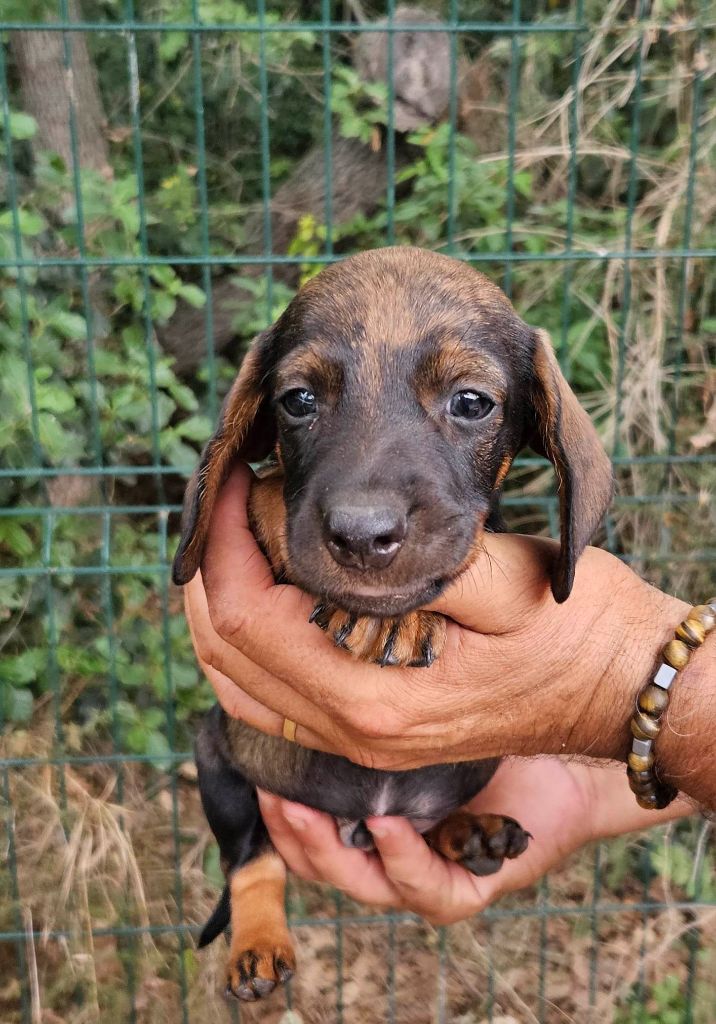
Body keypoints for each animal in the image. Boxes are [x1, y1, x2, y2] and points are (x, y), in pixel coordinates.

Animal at [171, 247, 614, 999]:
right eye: (298, 400)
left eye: (471, 402)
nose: (360, 535)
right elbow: (270, 491)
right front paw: (370, 610)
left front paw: (400, 619)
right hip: (219, 756)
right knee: (252, 858)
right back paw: (257, 942)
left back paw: (469, 831)